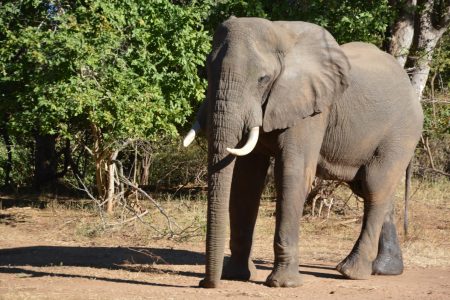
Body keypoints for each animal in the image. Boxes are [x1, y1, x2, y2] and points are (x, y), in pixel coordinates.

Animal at [182, 17, 422, 288]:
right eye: (207, 70)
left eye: (263, 79)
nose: (205, 283)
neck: (280, 33)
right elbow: (246, 181)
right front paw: (237, 276)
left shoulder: (313, 110)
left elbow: (292, 174)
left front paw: (283, 284)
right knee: (373, 188)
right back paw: (384, 270)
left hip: (402, 133)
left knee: (375, 186)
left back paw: (350, 272)